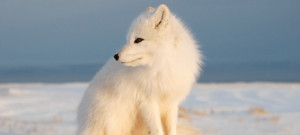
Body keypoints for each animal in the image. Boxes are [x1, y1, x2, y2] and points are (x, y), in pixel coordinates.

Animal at [77, 3, 204, 135]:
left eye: (138, 40)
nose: (116, 56)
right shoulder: (147, 103)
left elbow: (171, 130)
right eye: (128, 39)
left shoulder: (171, 104)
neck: (161, 67)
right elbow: (158, 131)